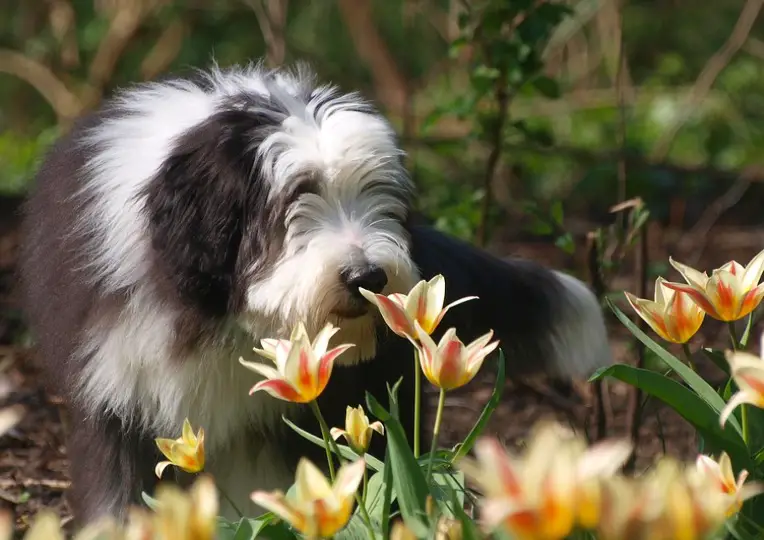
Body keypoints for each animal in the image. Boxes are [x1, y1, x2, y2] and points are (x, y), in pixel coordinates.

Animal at [16, 62, 608, 528]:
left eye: (377, 196)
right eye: (296, 198)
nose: (369, 276)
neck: (220, 318)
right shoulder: (118, 398)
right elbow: (117, 494)